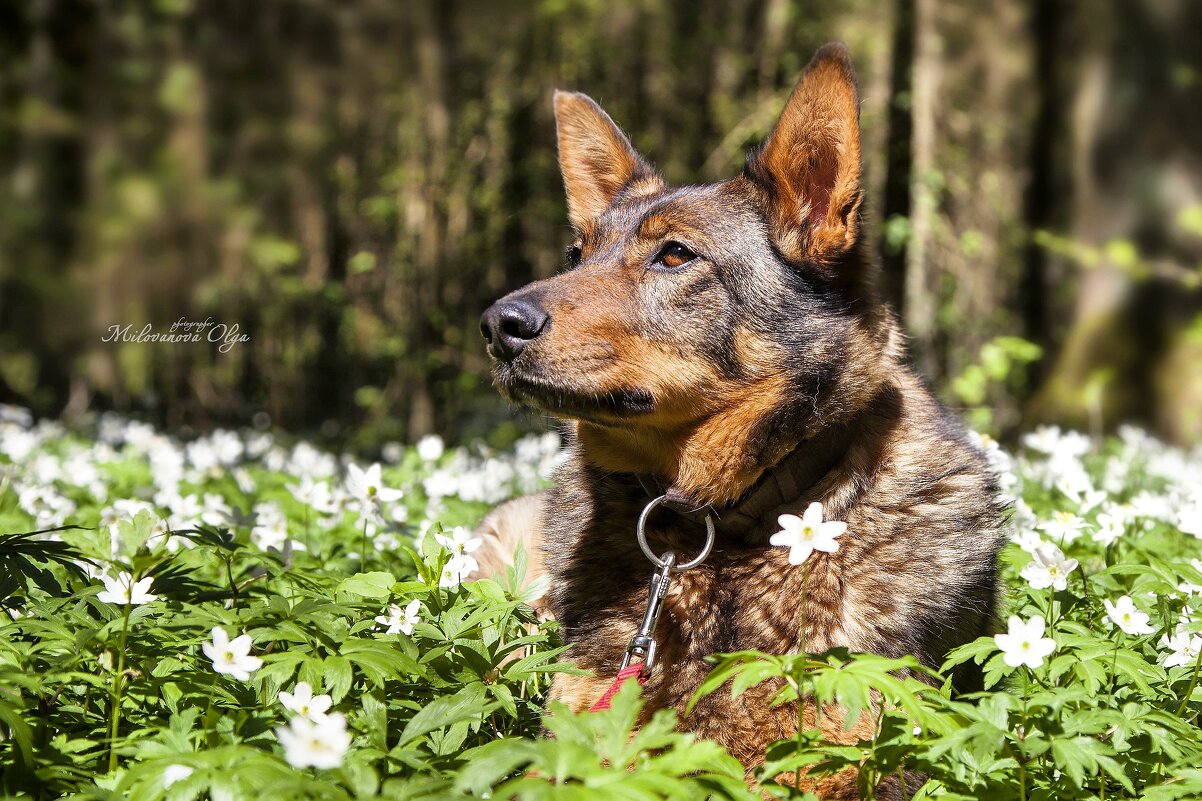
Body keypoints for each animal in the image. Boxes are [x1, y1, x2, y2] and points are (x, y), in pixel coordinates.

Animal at [473, 45, 1000, 798]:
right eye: (577, 256)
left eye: (675, 255)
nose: (496, 326)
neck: (715, 529)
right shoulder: (577, 738)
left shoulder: (852, 752)